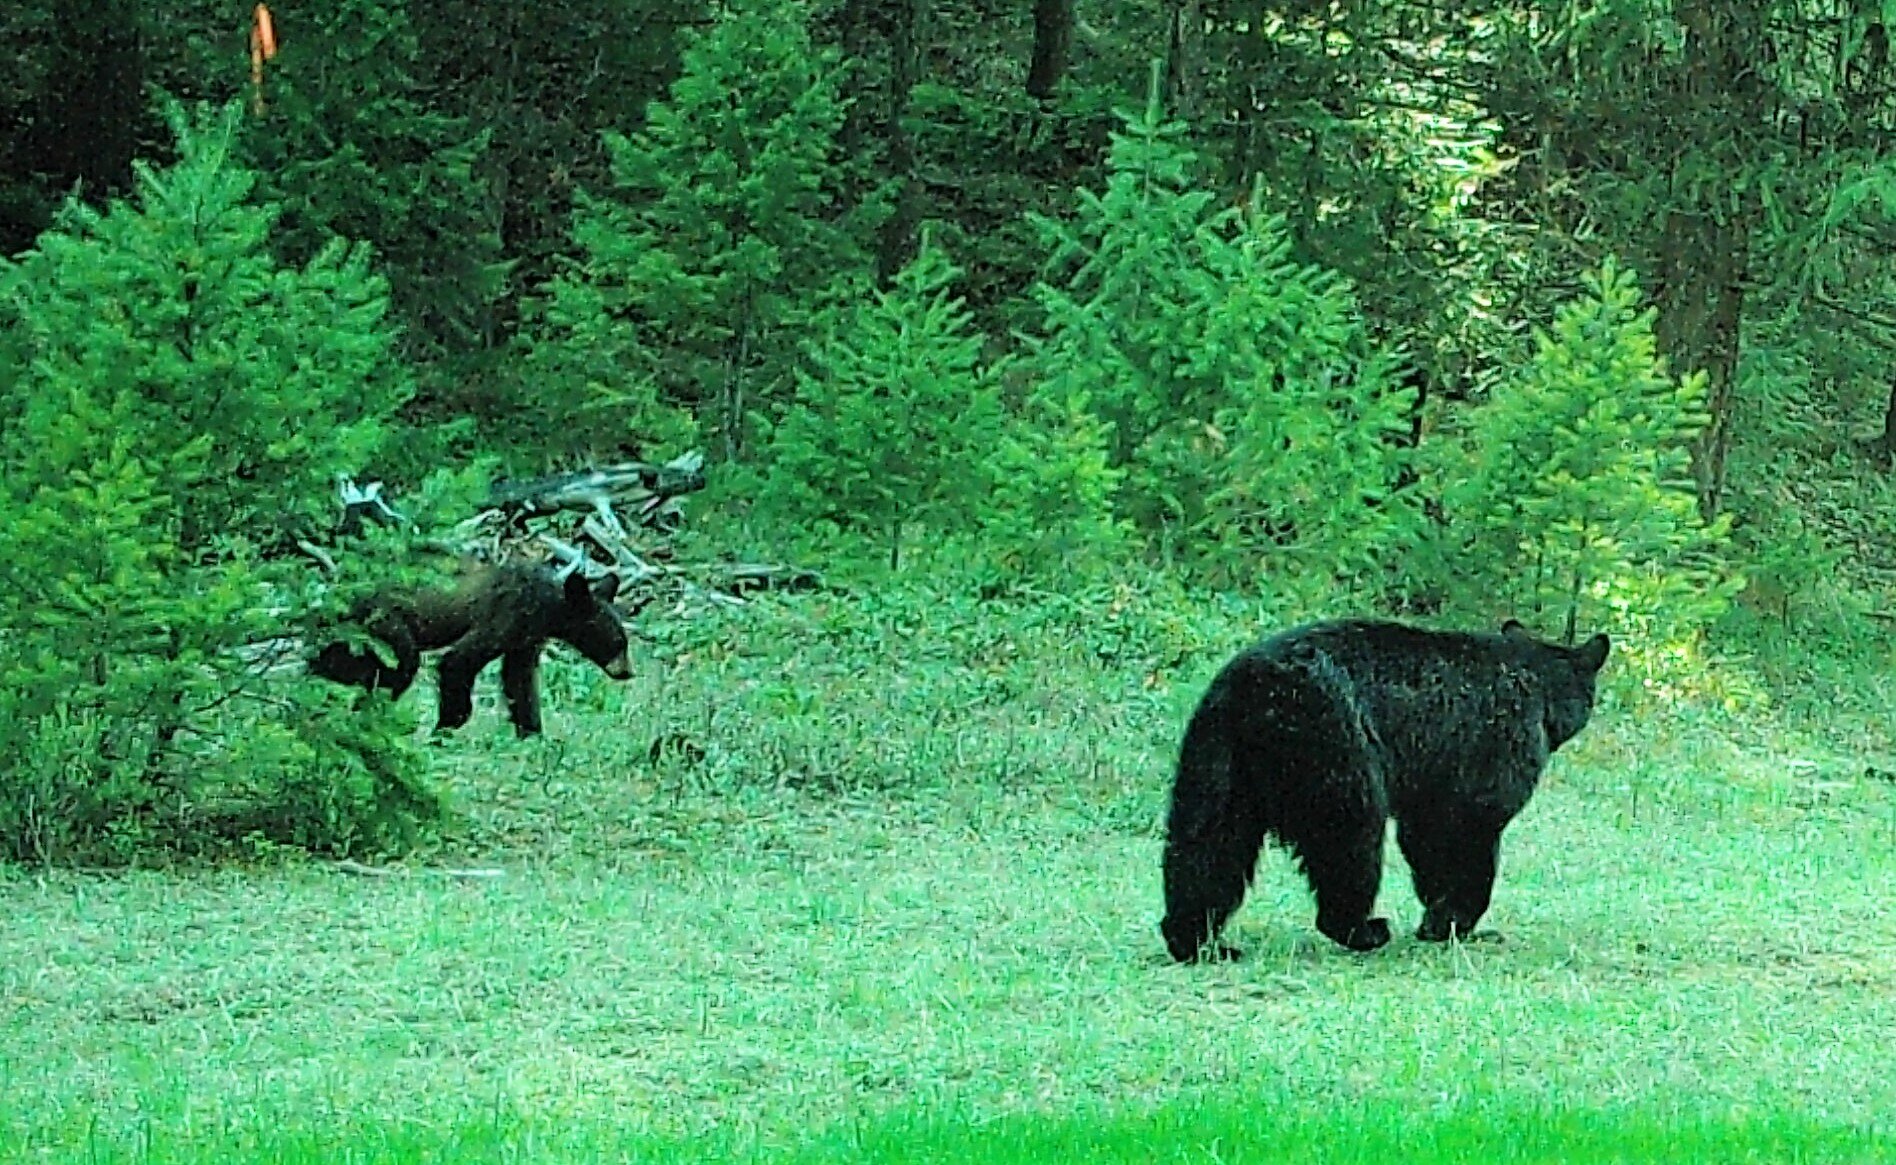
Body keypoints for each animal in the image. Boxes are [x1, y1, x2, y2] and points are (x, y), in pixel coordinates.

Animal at [309, 557, 637, 739]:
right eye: (618, 642)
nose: (628, 672)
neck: (547, 604)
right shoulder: (506, 616)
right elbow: (457, 661)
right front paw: (445, 726)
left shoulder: (525, 637)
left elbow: (519, 681)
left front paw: (533, 733)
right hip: (386, 625)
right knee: (402, 665)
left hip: (360, 637)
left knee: (339, 661)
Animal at [1160, 622, 1607, 967]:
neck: (1537, 686)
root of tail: (1256, 689)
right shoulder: (1493, 753)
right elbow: (1468, 833)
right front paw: (1454, 921)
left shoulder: (1433, 781)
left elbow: (1426, 838)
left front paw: (1438, 918)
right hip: (1333, 743)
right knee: (1349, 838)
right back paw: (1364, 929)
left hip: (1216, 759)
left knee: (1207, 845)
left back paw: (1199, 943)